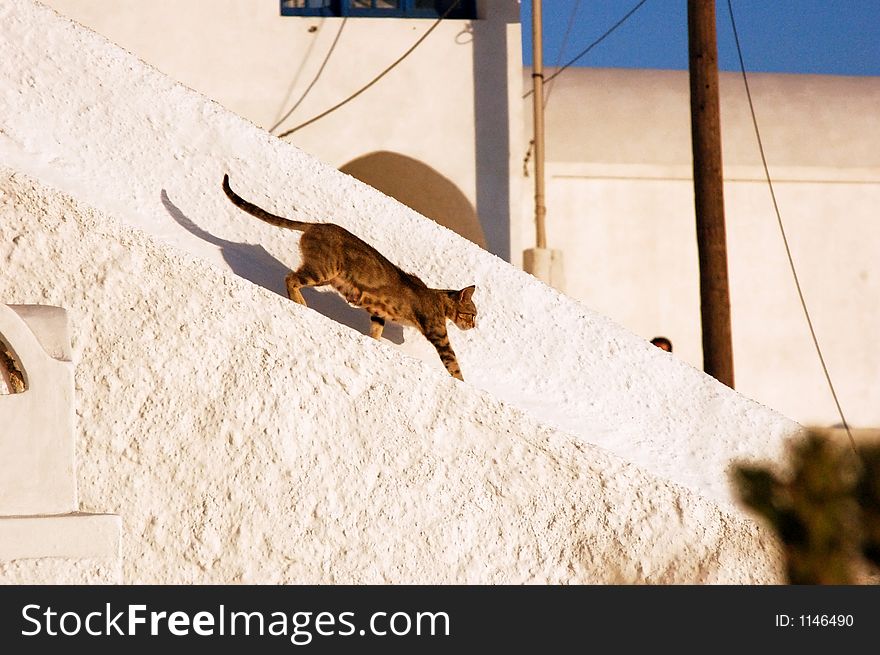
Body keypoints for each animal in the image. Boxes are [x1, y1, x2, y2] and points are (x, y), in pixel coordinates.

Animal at [223, 174, 478, 382]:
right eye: (472, 314)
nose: (474, 326)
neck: (439, 299)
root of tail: (317, 225)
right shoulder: (438, 332)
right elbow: (454, 364)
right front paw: (462, 381)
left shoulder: (379, 314)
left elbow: (376, 331)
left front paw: (375, 341)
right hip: (323, 270)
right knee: (291, 278)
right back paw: (300, 302)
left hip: (325, 275)